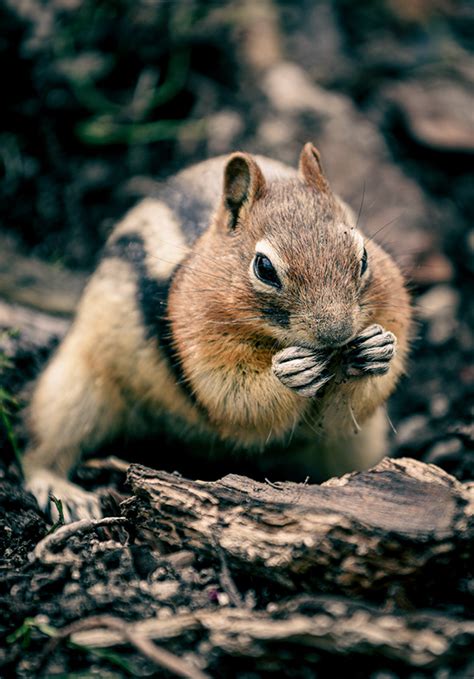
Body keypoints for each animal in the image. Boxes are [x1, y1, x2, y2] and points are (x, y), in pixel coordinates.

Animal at [23, 145, 412, 520]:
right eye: (264, 267)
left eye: (363, 256)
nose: (337, 333)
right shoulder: (202, 344)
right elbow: (234, 396)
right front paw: (289, 373)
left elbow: (340, 417)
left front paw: (377, 349)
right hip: (74, 389)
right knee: (42, 449)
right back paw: (62, 492)